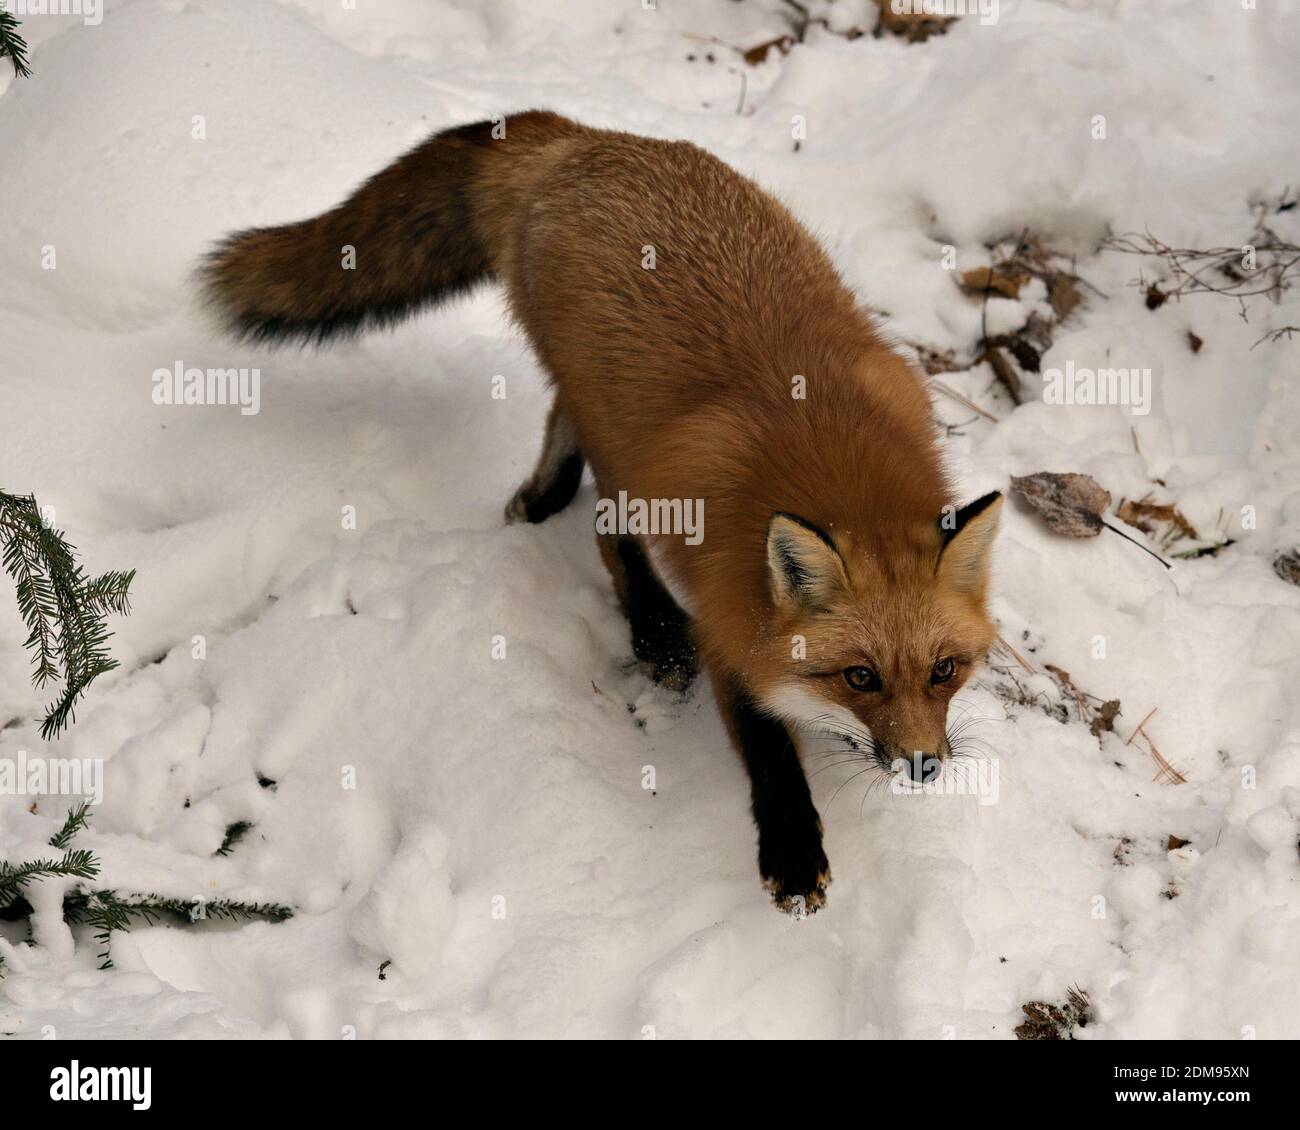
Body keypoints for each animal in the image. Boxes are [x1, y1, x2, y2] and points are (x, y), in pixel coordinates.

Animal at [200, 110, 1003, 910]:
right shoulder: (725, 614)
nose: (924, 764)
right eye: (860, 677)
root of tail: (580, 137)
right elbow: (767, 744)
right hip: (621, 449)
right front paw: (794, 850)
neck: (839, 472)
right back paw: (640, 614)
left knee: (563, 423)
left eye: (944, 670)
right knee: (605, 525)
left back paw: (548, 492)